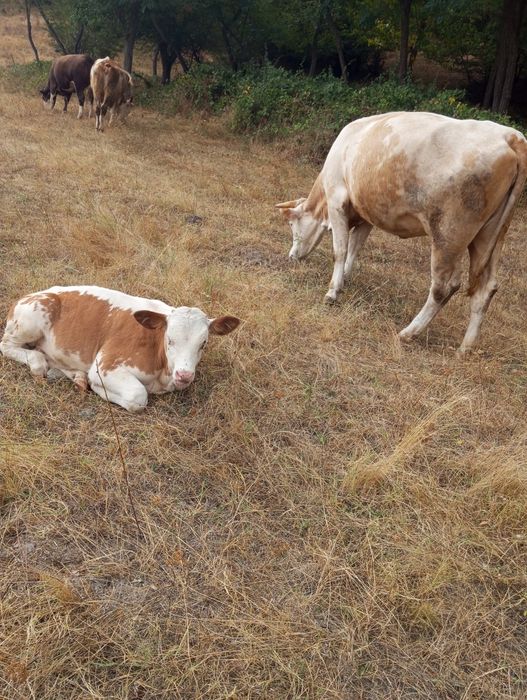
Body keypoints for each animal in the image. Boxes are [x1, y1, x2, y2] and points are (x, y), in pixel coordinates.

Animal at [0, 286, 240, 412]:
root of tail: (29, 295)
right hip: (31, 319)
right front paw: (100, 389)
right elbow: (138, 397)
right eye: (170, 340)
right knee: (7, 346)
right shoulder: (104, 365)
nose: (184, 375)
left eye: (203, 343)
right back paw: (40, 363)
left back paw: (77, 377)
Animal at [276, 112, 527, 353]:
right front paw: (345, 278)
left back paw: (408, 333)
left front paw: (332, 292)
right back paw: (465, 348)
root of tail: (511, 136)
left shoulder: (337, 201)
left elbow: (340, 250)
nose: (291, 256)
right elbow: (354, 248)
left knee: (443, 286)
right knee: (486, 289)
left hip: (449, 233)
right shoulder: (366, 214)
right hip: (490, 235)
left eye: (291, 225)